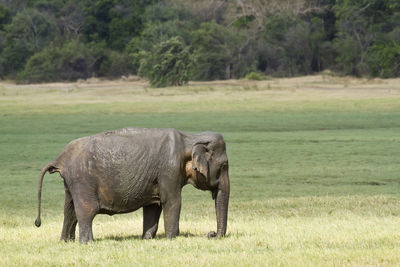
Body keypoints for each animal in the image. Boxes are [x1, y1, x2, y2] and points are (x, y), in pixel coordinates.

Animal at [35, 129, 228, 244]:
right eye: (225, 165)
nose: (211, 234)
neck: (191, 137)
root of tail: (60, 158)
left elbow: (153, 206)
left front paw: (147, 239)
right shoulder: (169, 171)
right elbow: (172, 202)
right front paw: (172, 239)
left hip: (71, 182)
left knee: (69, 210)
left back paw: (66, 242)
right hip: (82, 180)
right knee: (86, 211)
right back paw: (88, 243)